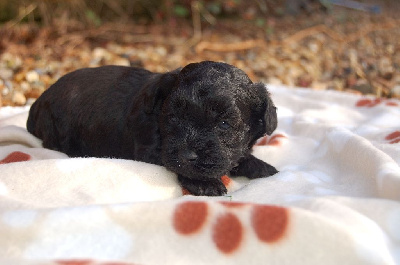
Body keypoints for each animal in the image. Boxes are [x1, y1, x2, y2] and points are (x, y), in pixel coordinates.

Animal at [27, 60, 278, 195]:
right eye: (173, 117)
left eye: (224, 123)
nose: (187, 154)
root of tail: (38, 102)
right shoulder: (149, 151)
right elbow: (179, 166)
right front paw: (205, 183)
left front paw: (260, 166)